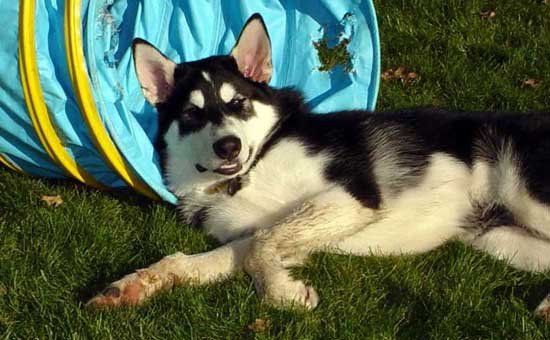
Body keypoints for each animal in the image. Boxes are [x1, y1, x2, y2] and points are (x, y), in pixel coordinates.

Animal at [88, 13, 550, 318]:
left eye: (238, 103)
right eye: (192, 113)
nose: (228, 147)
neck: (252, 169)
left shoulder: (352, 196)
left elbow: (262, 246)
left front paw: (285, 295)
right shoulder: (259, 232)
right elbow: (211, 258)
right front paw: (132, 286)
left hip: (528, 201)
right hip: (499, 239)